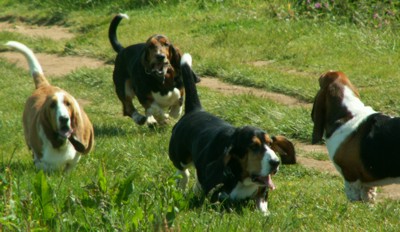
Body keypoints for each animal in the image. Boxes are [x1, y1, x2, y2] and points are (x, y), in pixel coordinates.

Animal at [167, 53, 296, 215]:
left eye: (270, 144)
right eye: (253, 146)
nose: (275, 162)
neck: (243, 179)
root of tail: (196, 110)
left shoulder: (262, 191)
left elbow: (262, 206)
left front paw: (267, 215)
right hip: (179, 156)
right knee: (184, 172)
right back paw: (183, 185)